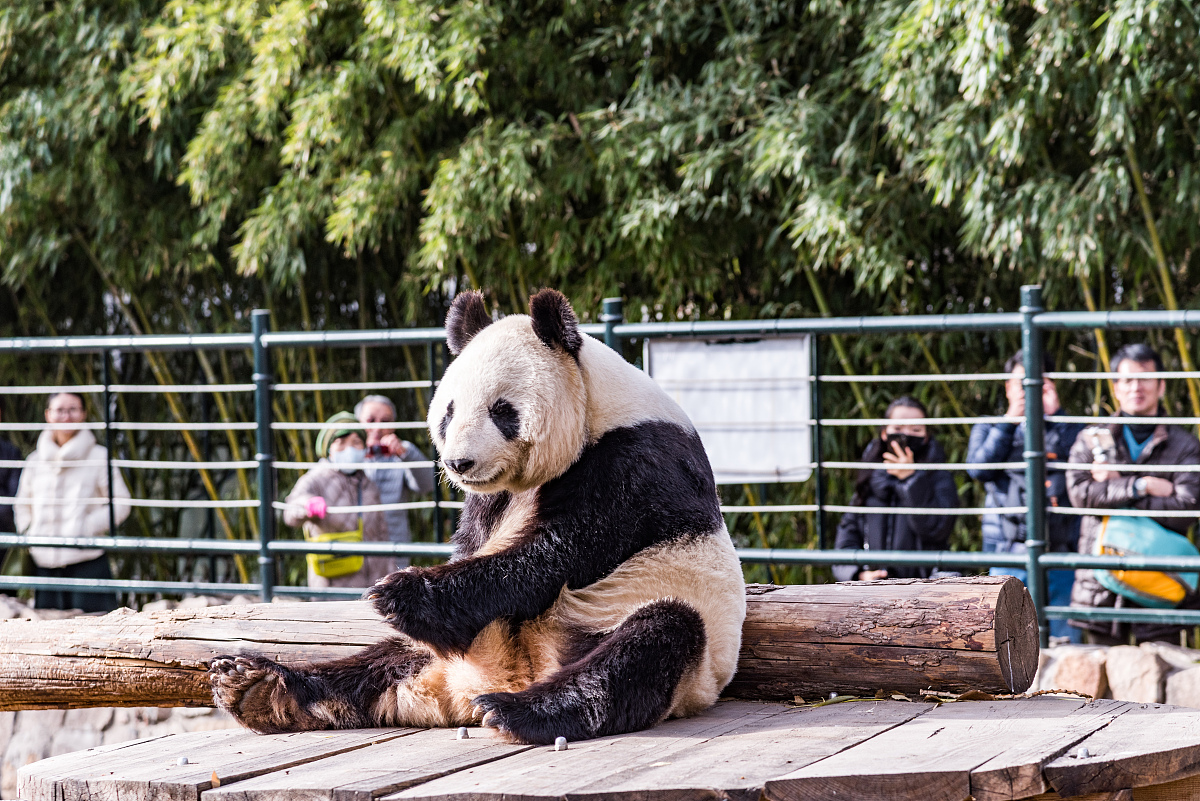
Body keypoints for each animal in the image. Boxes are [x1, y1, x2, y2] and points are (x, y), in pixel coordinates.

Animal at [210, 289, 746, 744]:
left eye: (501, 411)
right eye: (448, 411)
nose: (458, 464)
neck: (596, 406)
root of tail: (496, 675)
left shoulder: (636, 460)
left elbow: (563, 548)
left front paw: (402, 593)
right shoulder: (492, 500)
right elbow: (480, 540)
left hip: (647, 628)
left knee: (652, 640)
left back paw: (521, 711)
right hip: (433, 658)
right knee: (375, 667)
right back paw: (258, 686)